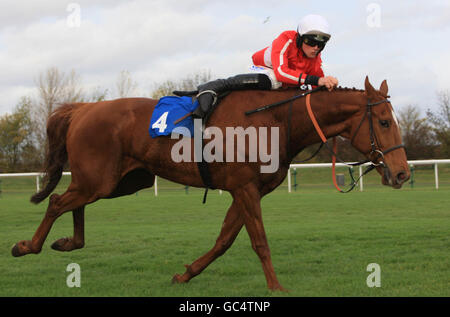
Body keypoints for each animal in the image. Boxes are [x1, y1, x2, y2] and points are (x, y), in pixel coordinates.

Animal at [12, 76, 410, 288]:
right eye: (384, 121)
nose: (403, 172)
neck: (275, 119)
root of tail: (82, 108)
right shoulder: (245, 188)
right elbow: (259, 242)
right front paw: (277, 287)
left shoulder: (247, 190)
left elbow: (224, 240)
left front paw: (186, 274)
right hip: (101, 179)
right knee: (57, 202)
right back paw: (27, 246)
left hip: (118, 182)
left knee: (73, 202)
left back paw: (67, 242)